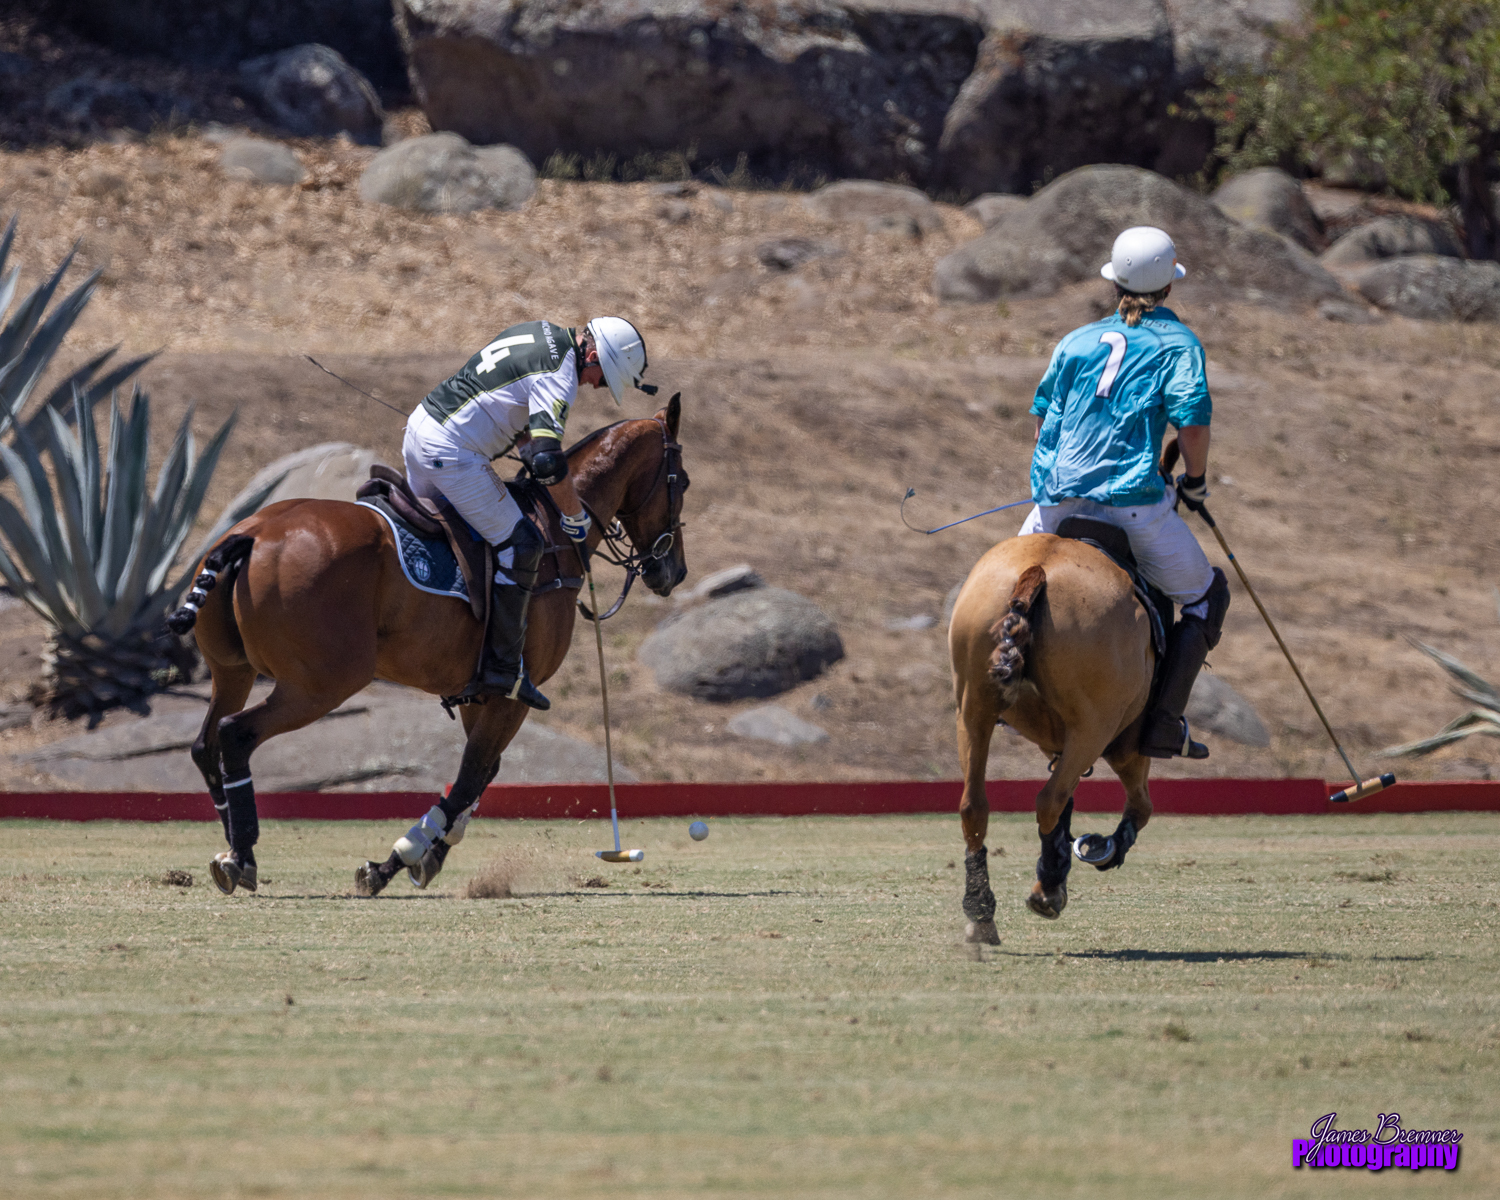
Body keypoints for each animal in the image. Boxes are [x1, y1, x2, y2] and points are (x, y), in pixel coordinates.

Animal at [174, 395, 689, 896]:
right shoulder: (516, 693)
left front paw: (422, 856)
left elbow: (481, 774)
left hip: (232, 669)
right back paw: (242, 856)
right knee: (235, 734)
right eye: (681, 481)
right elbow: (470, 776)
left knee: (204, 743)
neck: (555, 533)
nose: (674, 572)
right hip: (322, 683)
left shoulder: (479, 693)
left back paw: (230, 845)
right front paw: (396, 860)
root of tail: (251, 532)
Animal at [947, 511, 1159, 944]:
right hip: (1094, 725)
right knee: (1051, 798)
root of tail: (1037, 570)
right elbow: (1137, 802)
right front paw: (1104, 849)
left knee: (974, 805)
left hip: (972, 705)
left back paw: (981, 913)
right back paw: (1048, 890)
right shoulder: (1123, 737)